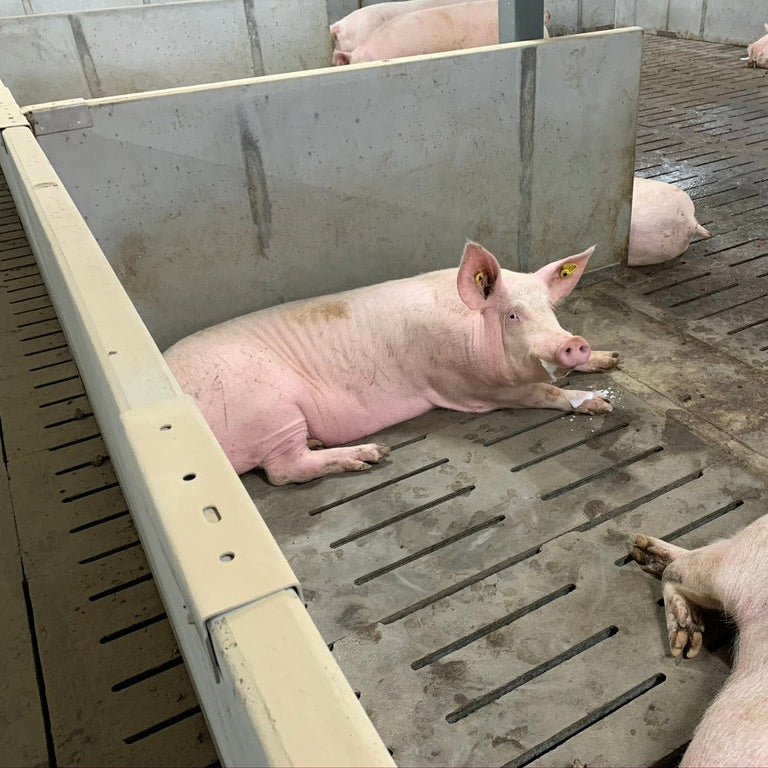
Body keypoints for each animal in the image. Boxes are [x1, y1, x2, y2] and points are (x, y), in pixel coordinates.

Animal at [164, 242, 619, 485]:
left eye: (550, 309)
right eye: (512, 315)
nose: (573, 343)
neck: (473, 331)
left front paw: (610, 359)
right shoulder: (468, 387)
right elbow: (542, 390)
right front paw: (601, 404)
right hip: (270, 410)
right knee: (283, 469)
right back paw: (372, 455)